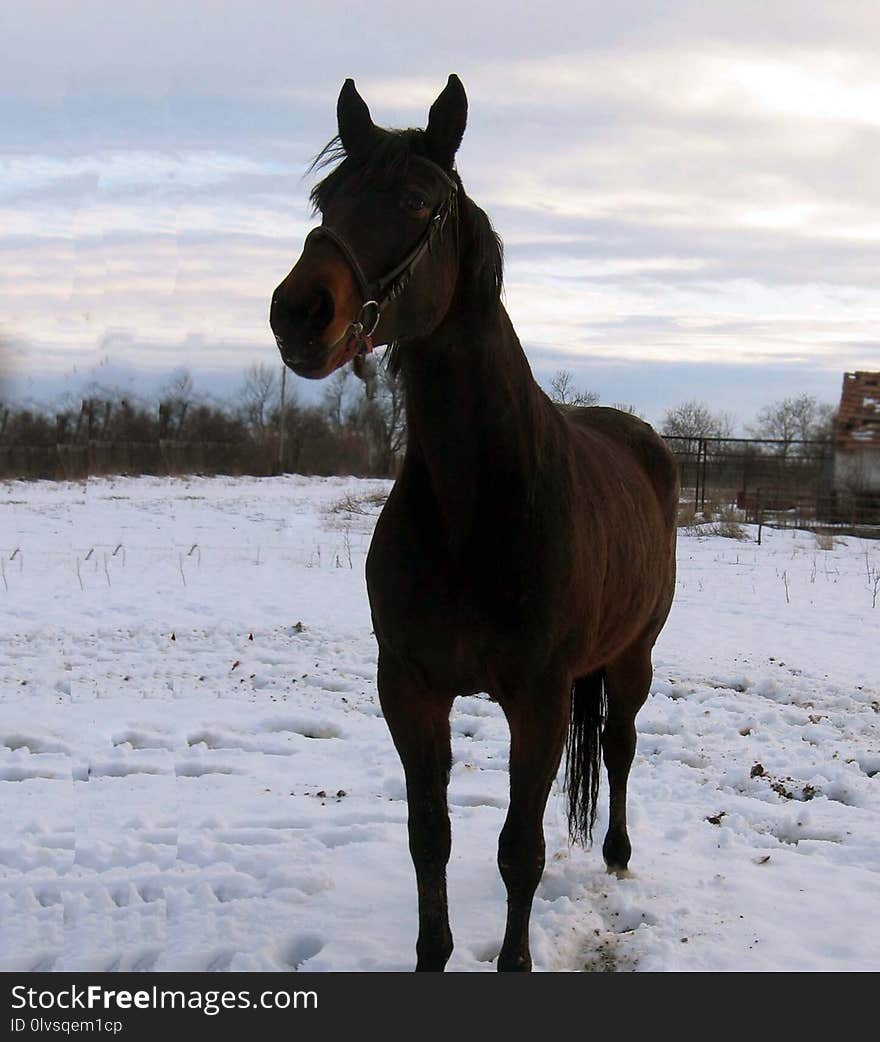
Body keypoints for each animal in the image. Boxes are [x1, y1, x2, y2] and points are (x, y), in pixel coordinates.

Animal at [270, 75, 674, 975]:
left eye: (419, 200)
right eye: (326, 197)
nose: (299, 313)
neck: (475, 505)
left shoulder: (539, 697)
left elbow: (519, 849)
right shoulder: (410, 688)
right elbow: (432, 838)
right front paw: (432, 953)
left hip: (632, 658)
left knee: (621, 748)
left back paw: (620, 854)